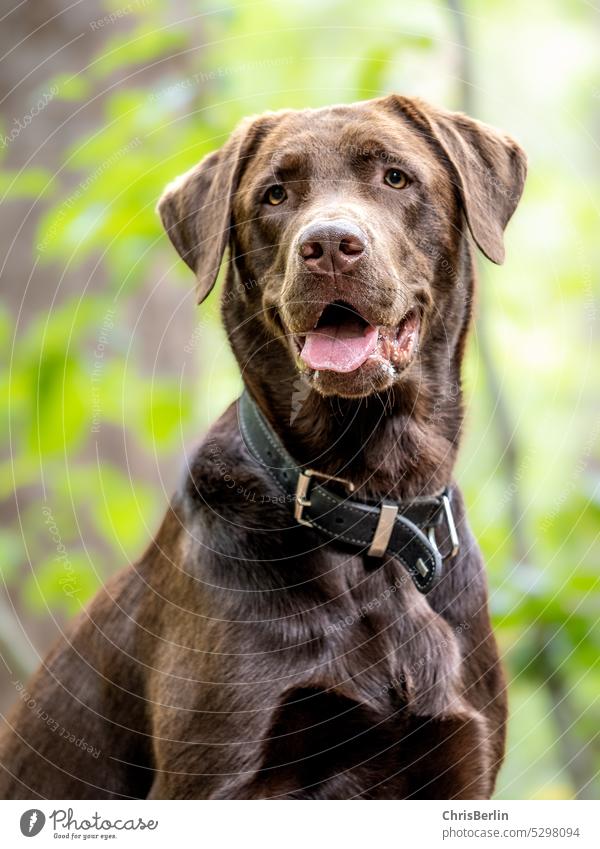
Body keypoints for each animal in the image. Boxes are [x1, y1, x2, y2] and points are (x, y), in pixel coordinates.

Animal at [0, 96, 524, 800]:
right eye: (275, 195)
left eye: (395, 177)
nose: (328, 246)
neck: (371, 509)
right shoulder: (219, 776)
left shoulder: (460, 762)